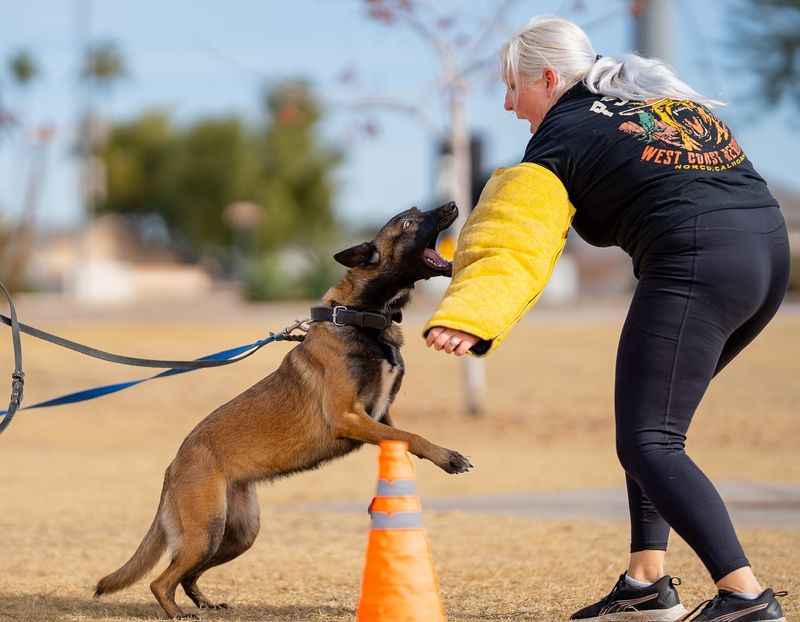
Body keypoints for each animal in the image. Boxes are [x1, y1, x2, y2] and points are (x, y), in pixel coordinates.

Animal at [94, 202, 472, 620]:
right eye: (408, 221)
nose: (452, 206)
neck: (360, 316)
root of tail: (174, 464)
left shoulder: (378, 416)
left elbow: (402, 437)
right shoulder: (349, 417)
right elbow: (411, 435)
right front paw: (449, 457)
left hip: (238, 533)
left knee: (187, 575)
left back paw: (206, 602)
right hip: (206, 530)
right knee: (161, 581)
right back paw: (178, 613)